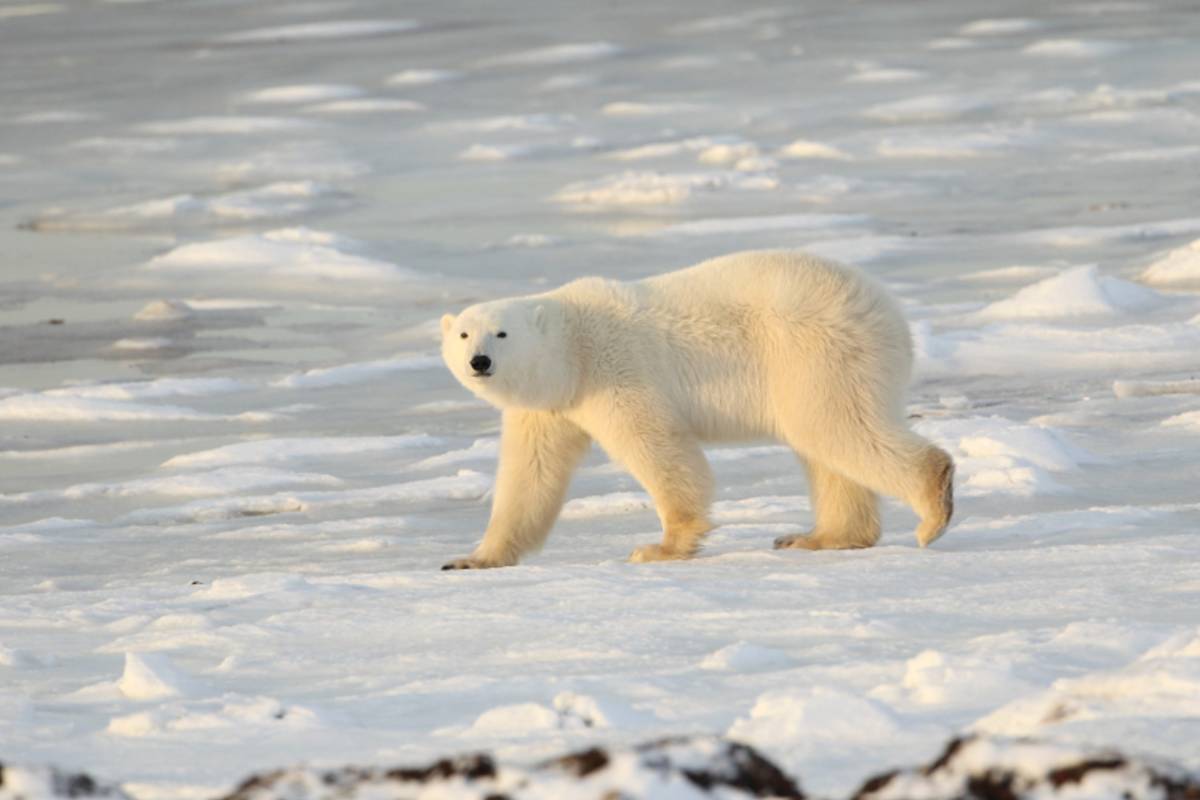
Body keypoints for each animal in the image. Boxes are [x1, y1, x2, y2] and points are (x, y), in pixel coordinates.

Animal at [441, 250, 955, 568]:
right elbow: (530, 475)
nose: (479, 361)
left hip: (814, 349)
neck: (574, 347)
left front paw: (660, 547)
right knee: (826, 446)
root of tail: (886, 310)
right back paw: (817, 536)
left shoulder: (616, 370)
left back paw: (932, 510)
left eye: (502, 333)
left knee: (836, 427)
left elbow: (658, 447)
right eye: (464, 333)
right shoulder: (551, 407)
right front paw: (470, 559)